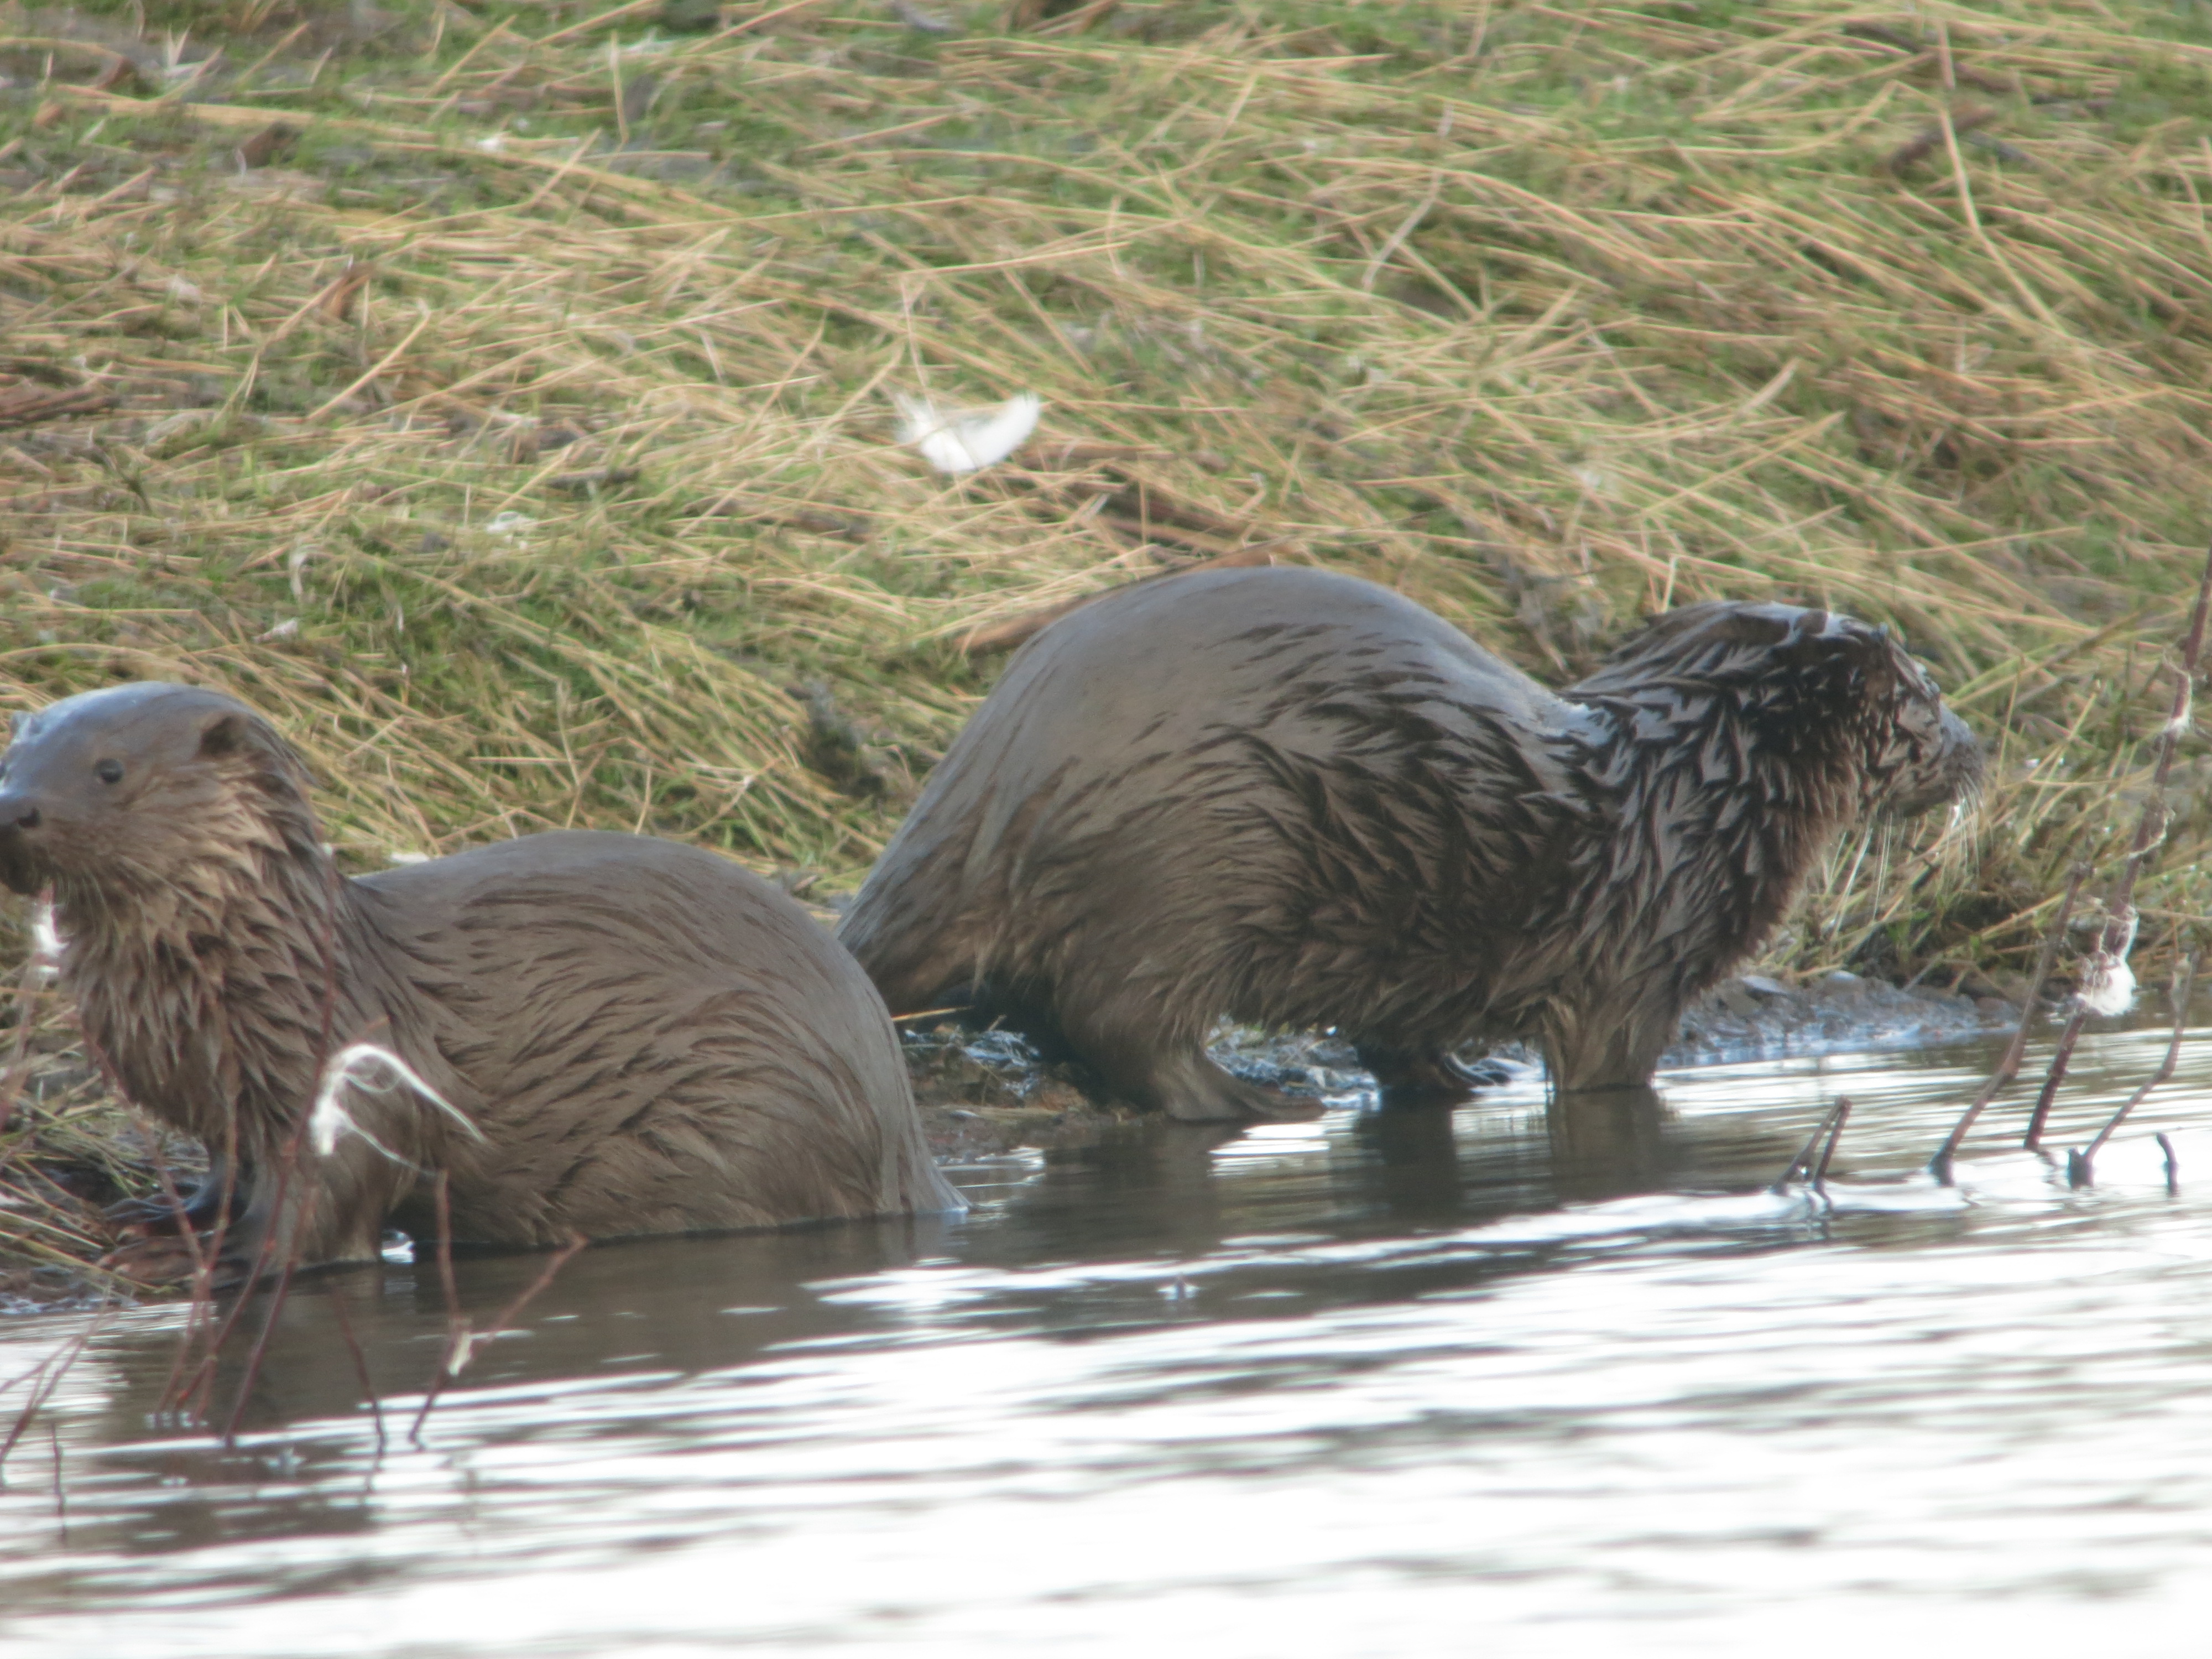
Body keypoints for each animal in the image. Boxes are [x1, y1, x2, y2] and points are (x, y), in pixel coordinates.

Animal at [2, 681, 969, 1283]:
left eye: (111, 770)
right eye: (11, 762)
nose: (16, 808)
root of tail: (907, 1142)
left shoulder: (341, 1066)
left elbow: (321, 1203)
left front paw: (209, 1260)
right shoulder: (225, 1105)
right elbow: (223, 1174)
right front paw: (160, 1219)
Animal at [841, 566, 1991, 1124]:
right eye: (1931, 694)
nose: (1979, 750)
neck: (1693, 787)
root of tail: (993, 780)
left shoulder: (1417, 966)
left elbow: (1400, 1037)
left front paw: (1462, 1082)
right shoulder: (1639, 957)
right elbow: (1605, 1072)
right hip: (1181, 872)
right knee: (1119, 1024)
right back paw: (1253, 1097)